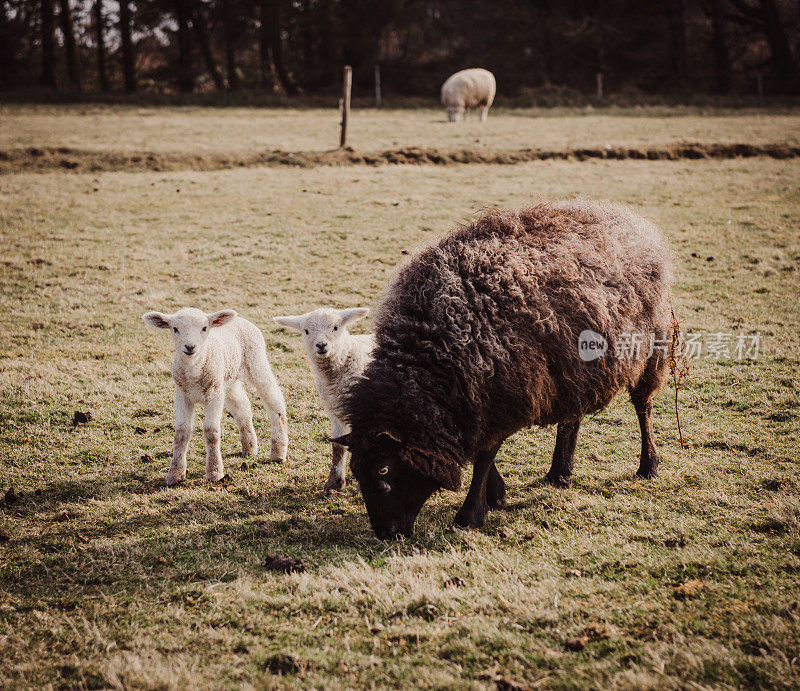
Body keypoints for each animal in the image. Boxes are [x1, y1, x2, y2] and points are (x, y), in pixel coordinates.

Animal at [143, 308, 288, 486]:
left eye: (204, 328)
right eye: (175, 329)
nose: (190, 347)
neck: (195, 371)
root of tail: (241, 319)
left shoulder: (214, 394)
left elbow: (211, 432)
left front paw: (214, 472)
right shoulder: (183, 395)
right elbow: (181, 433)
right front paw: (175, 474)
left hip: (256, 362)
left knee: (275, 401)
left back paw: (278, 452)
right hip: (229, 380)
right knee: (243, 407)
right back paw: (249, 447)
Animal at [276, 306, 376, 492]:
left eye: (336, 327)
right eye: (306, 331)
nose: (321, 345)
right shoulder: (335, 412)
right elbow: (337, 447)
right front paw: (334, 482)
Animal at [334, 200, 680, 540]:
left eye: (383, 469)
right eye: (356, 471)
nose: (385, 533)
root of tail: (630, 219)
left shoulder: (504, 395)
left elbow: (484, 455)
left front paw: (470, 514)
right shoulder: (475, 400)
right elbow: (480, 450)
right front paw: (497, 496)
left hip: (651, 347)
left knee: (643, 407)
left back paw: (649, 465)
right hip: (572, 366)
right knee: (572, 416)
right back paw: (559, 473)